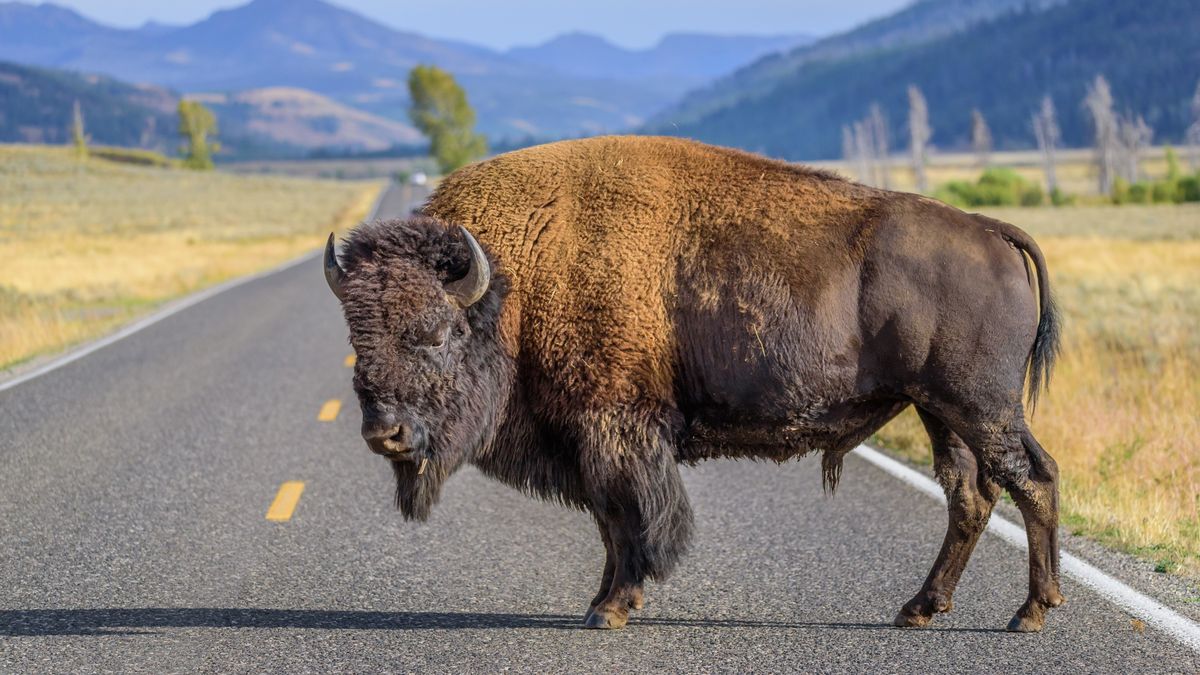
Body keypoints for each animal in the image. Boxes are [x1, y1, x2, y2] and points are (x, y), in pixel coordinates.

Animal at [324, 136, 1065, 629]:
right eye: (357, 338)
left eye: (435, 333)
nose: (385, 432)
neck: (518, 275)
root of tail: (990, 230)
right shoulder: (591, 438)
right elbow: (610, 521)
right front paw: (602, 601)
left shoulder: (615, 428)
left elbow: (632, 517)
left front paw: (612, 608)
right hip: (940, 410)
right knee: (971, 494)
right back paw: (921, 608)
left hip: (979, 405)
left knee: (1030, 478)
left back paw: (1031, 612)